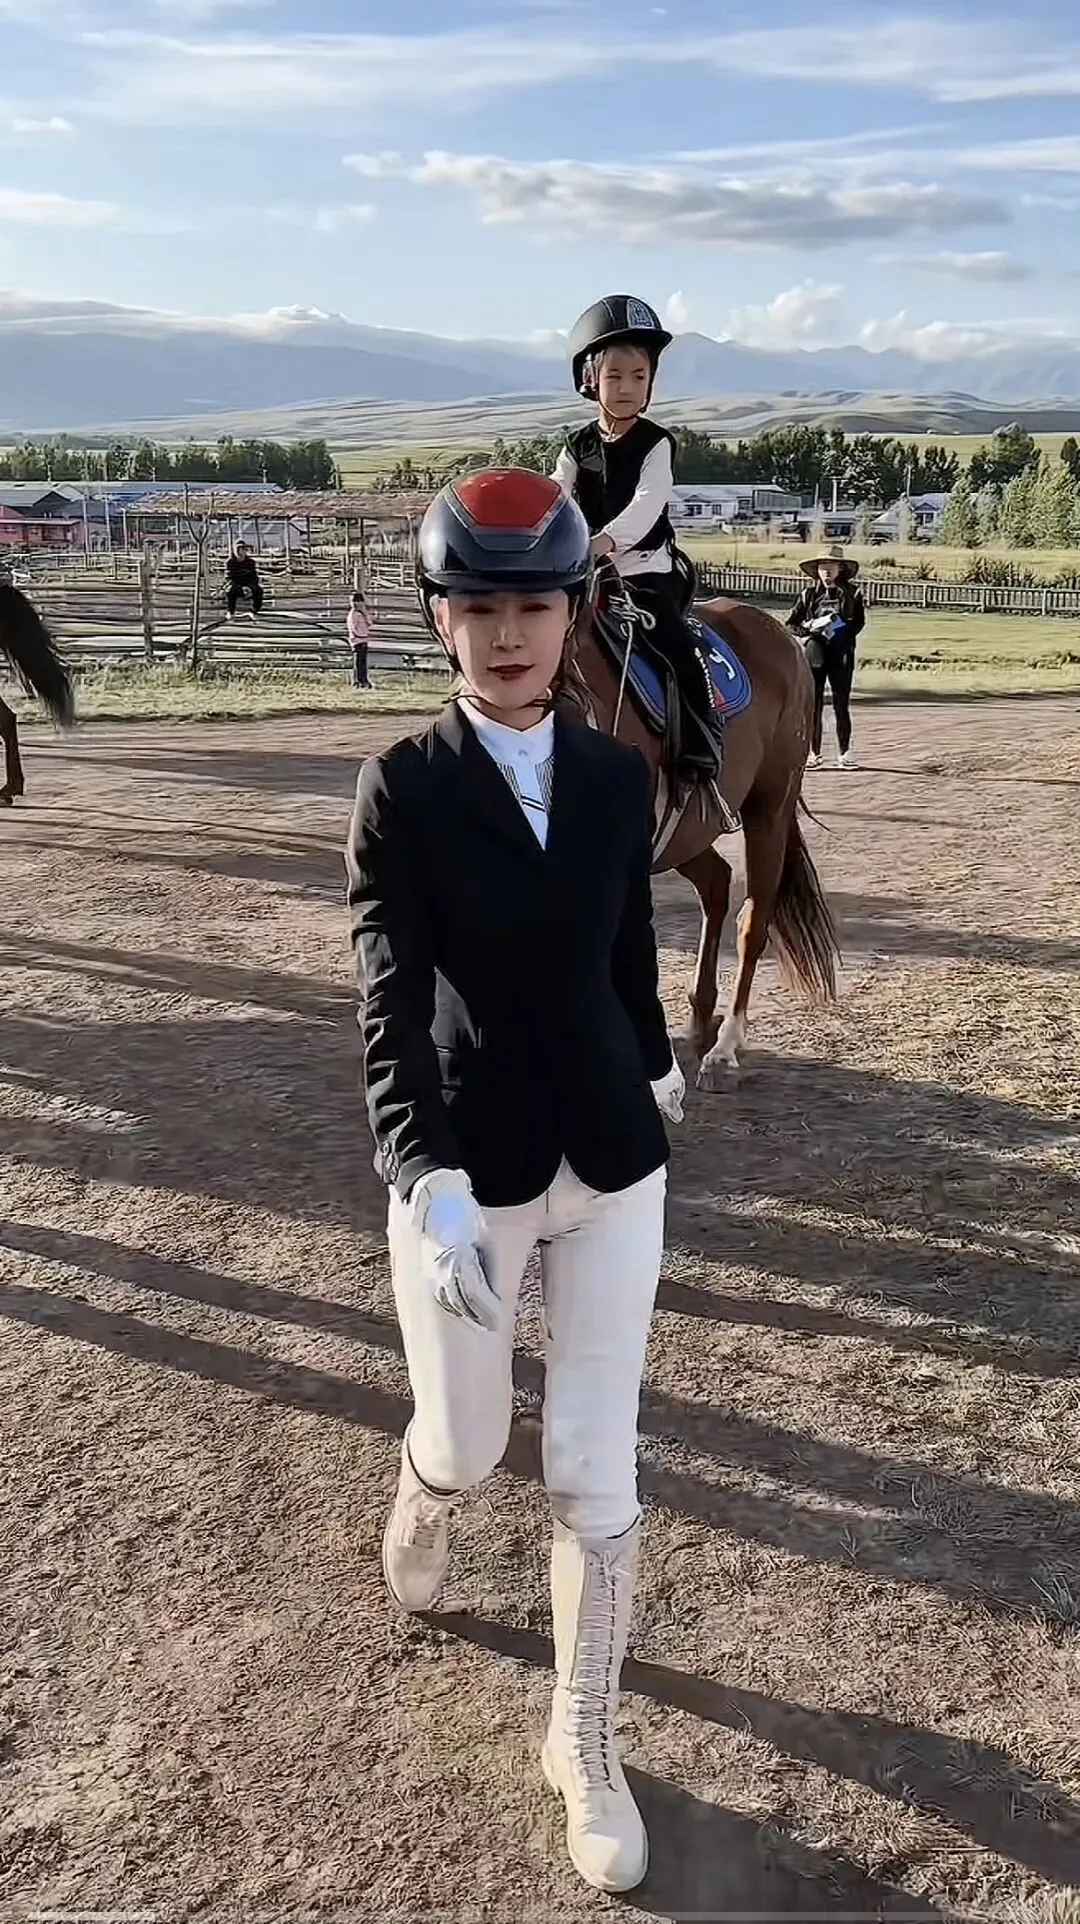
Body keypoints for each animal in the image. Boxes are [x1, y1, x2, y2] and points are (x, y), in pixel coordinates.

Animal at [572, 590, 839, 1088]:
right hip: (685, 836)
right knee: (716, 882)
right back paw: (698, 1020)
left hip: (769, 812)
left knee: (753, 923)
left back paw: (725, 1046)